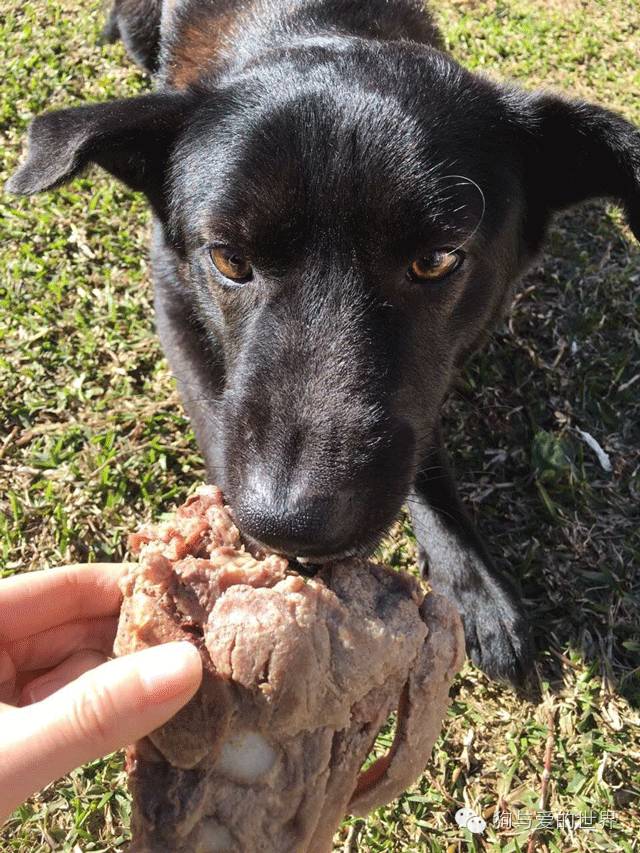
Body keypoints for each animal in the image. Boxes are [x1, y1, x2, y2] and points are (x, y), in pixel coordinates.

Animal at [7, 0, 636, 684]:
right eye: (228, 259)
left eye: (437, 260)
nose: (289, 526)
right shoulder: (173, 299)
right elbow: (215, 413)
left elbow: (421, 444)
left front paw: (470, 576)